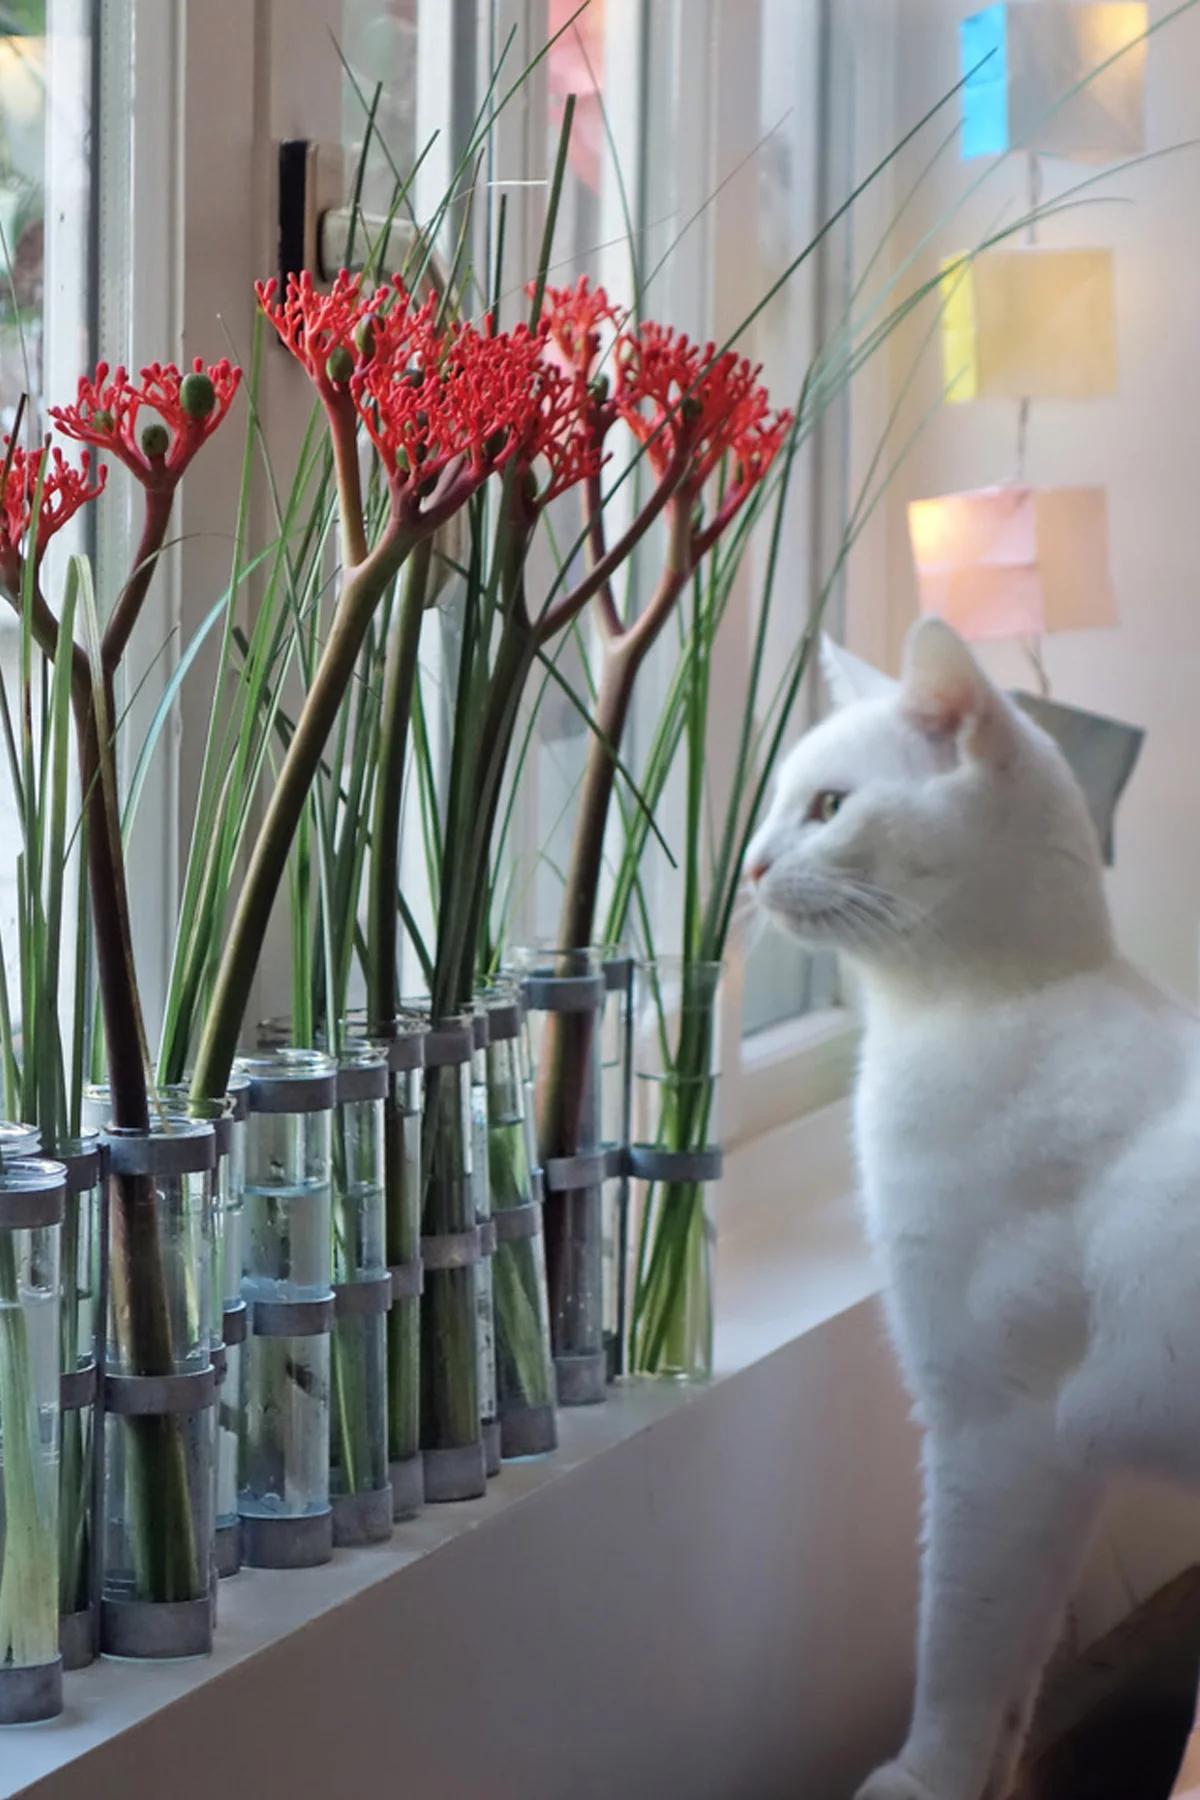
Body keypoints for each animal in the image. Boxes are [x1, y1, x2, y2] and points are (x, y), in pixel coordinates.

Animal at [744, 612, 1194, 1792]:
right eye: (777, 803)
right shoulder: (1057, 1463)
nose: (750, 862)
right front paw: (993, 1775)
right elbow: (1017, 1674)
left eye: (827, 807)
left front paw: (921, 1775)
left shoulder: (997, 1428)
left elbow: (958, 1643)